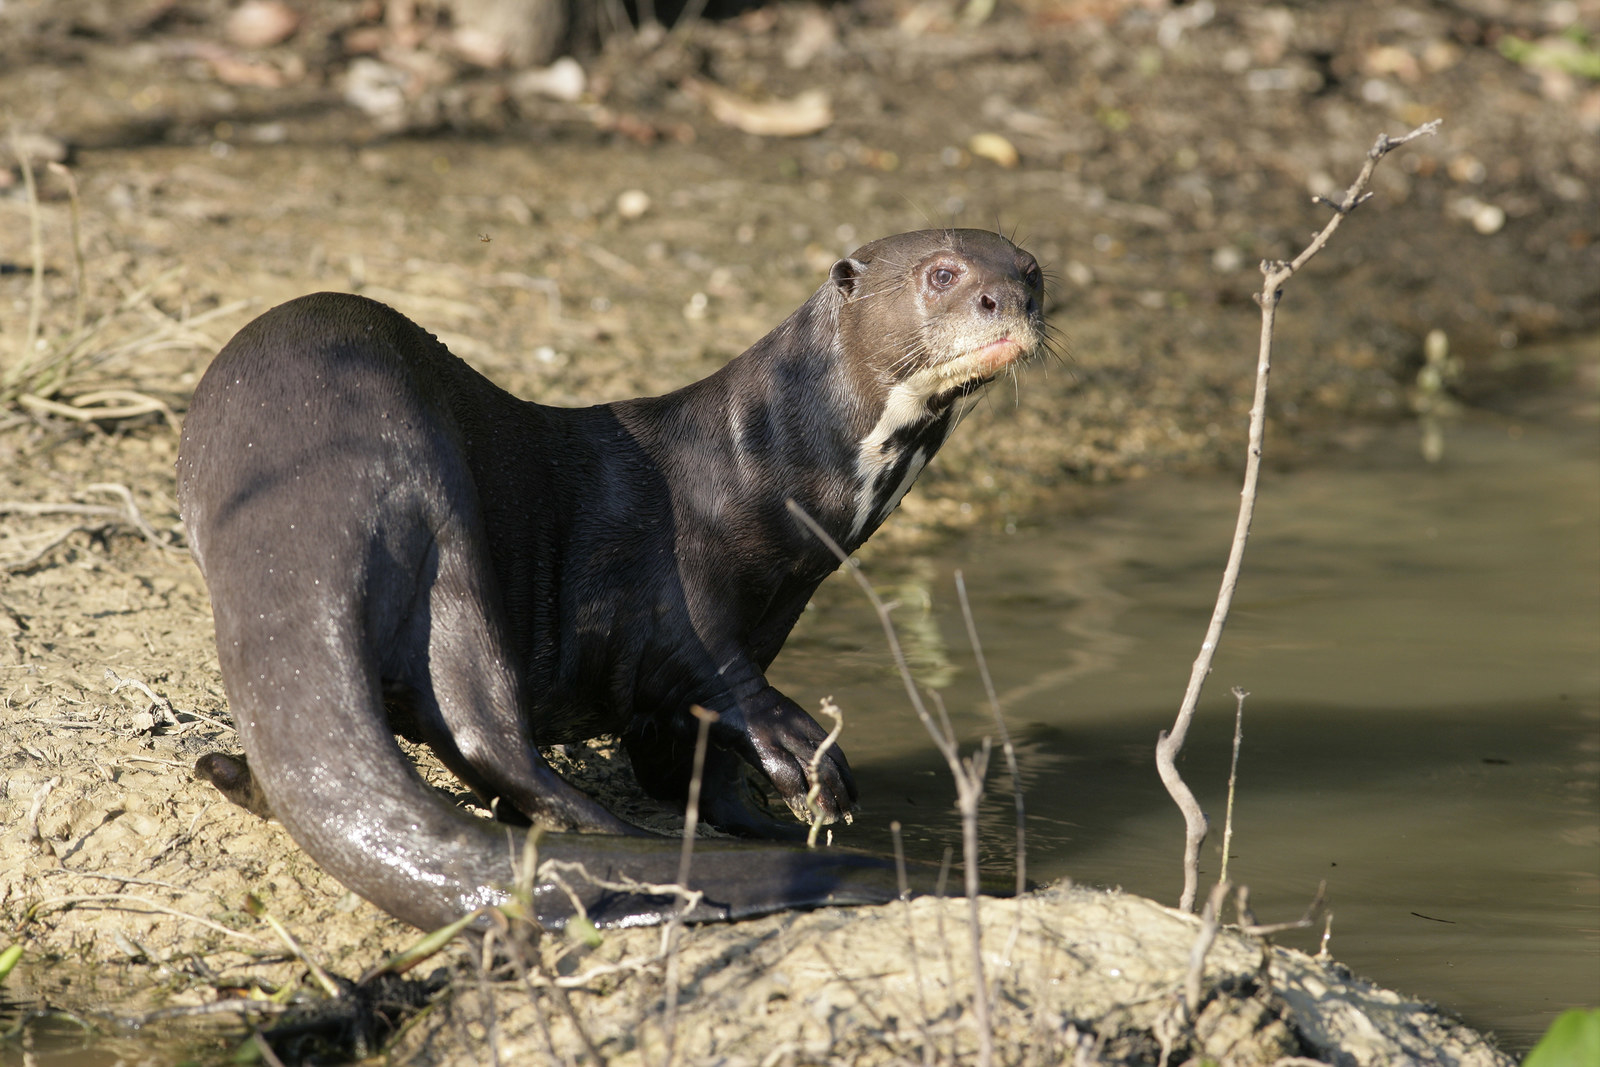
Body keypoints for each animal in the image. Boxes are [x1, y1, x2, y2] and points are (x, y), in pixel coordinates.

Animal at [178, 230, 1049, 927]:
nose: (1006, 300)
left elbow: (691, 761)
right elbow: (715, 682)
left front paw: (759, 817)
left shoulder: (766, 617)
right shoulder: (683, 593)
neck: (762, 469)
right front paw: (804, 758)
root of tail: (299, 502)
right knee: (487, 728)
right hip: (440, 514)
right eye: (942, 273)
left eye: (1031, 269)